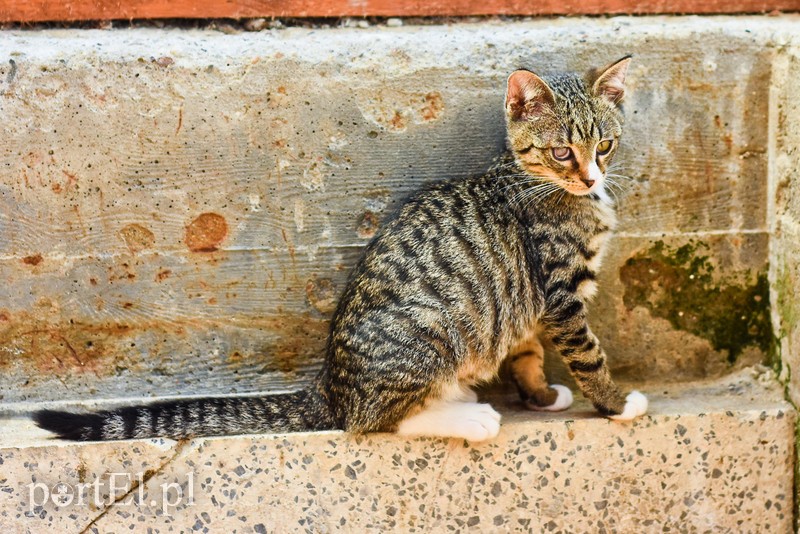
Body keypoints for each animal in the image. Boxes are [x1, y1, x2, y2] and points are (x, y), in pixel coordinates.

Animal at [34, 57, 648, 444]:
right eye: (562, 152)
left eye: (605, 145)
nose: (591, 177)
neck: (539, 182)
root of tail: (331, 386)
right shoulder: (559, 290)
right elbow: (588, 353)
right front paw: (616, 404)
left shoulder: (532, 298)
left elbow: (525, 350)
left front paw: (540, 394)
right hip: (432, 331)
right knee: (368, 421)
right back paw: (467, 420)